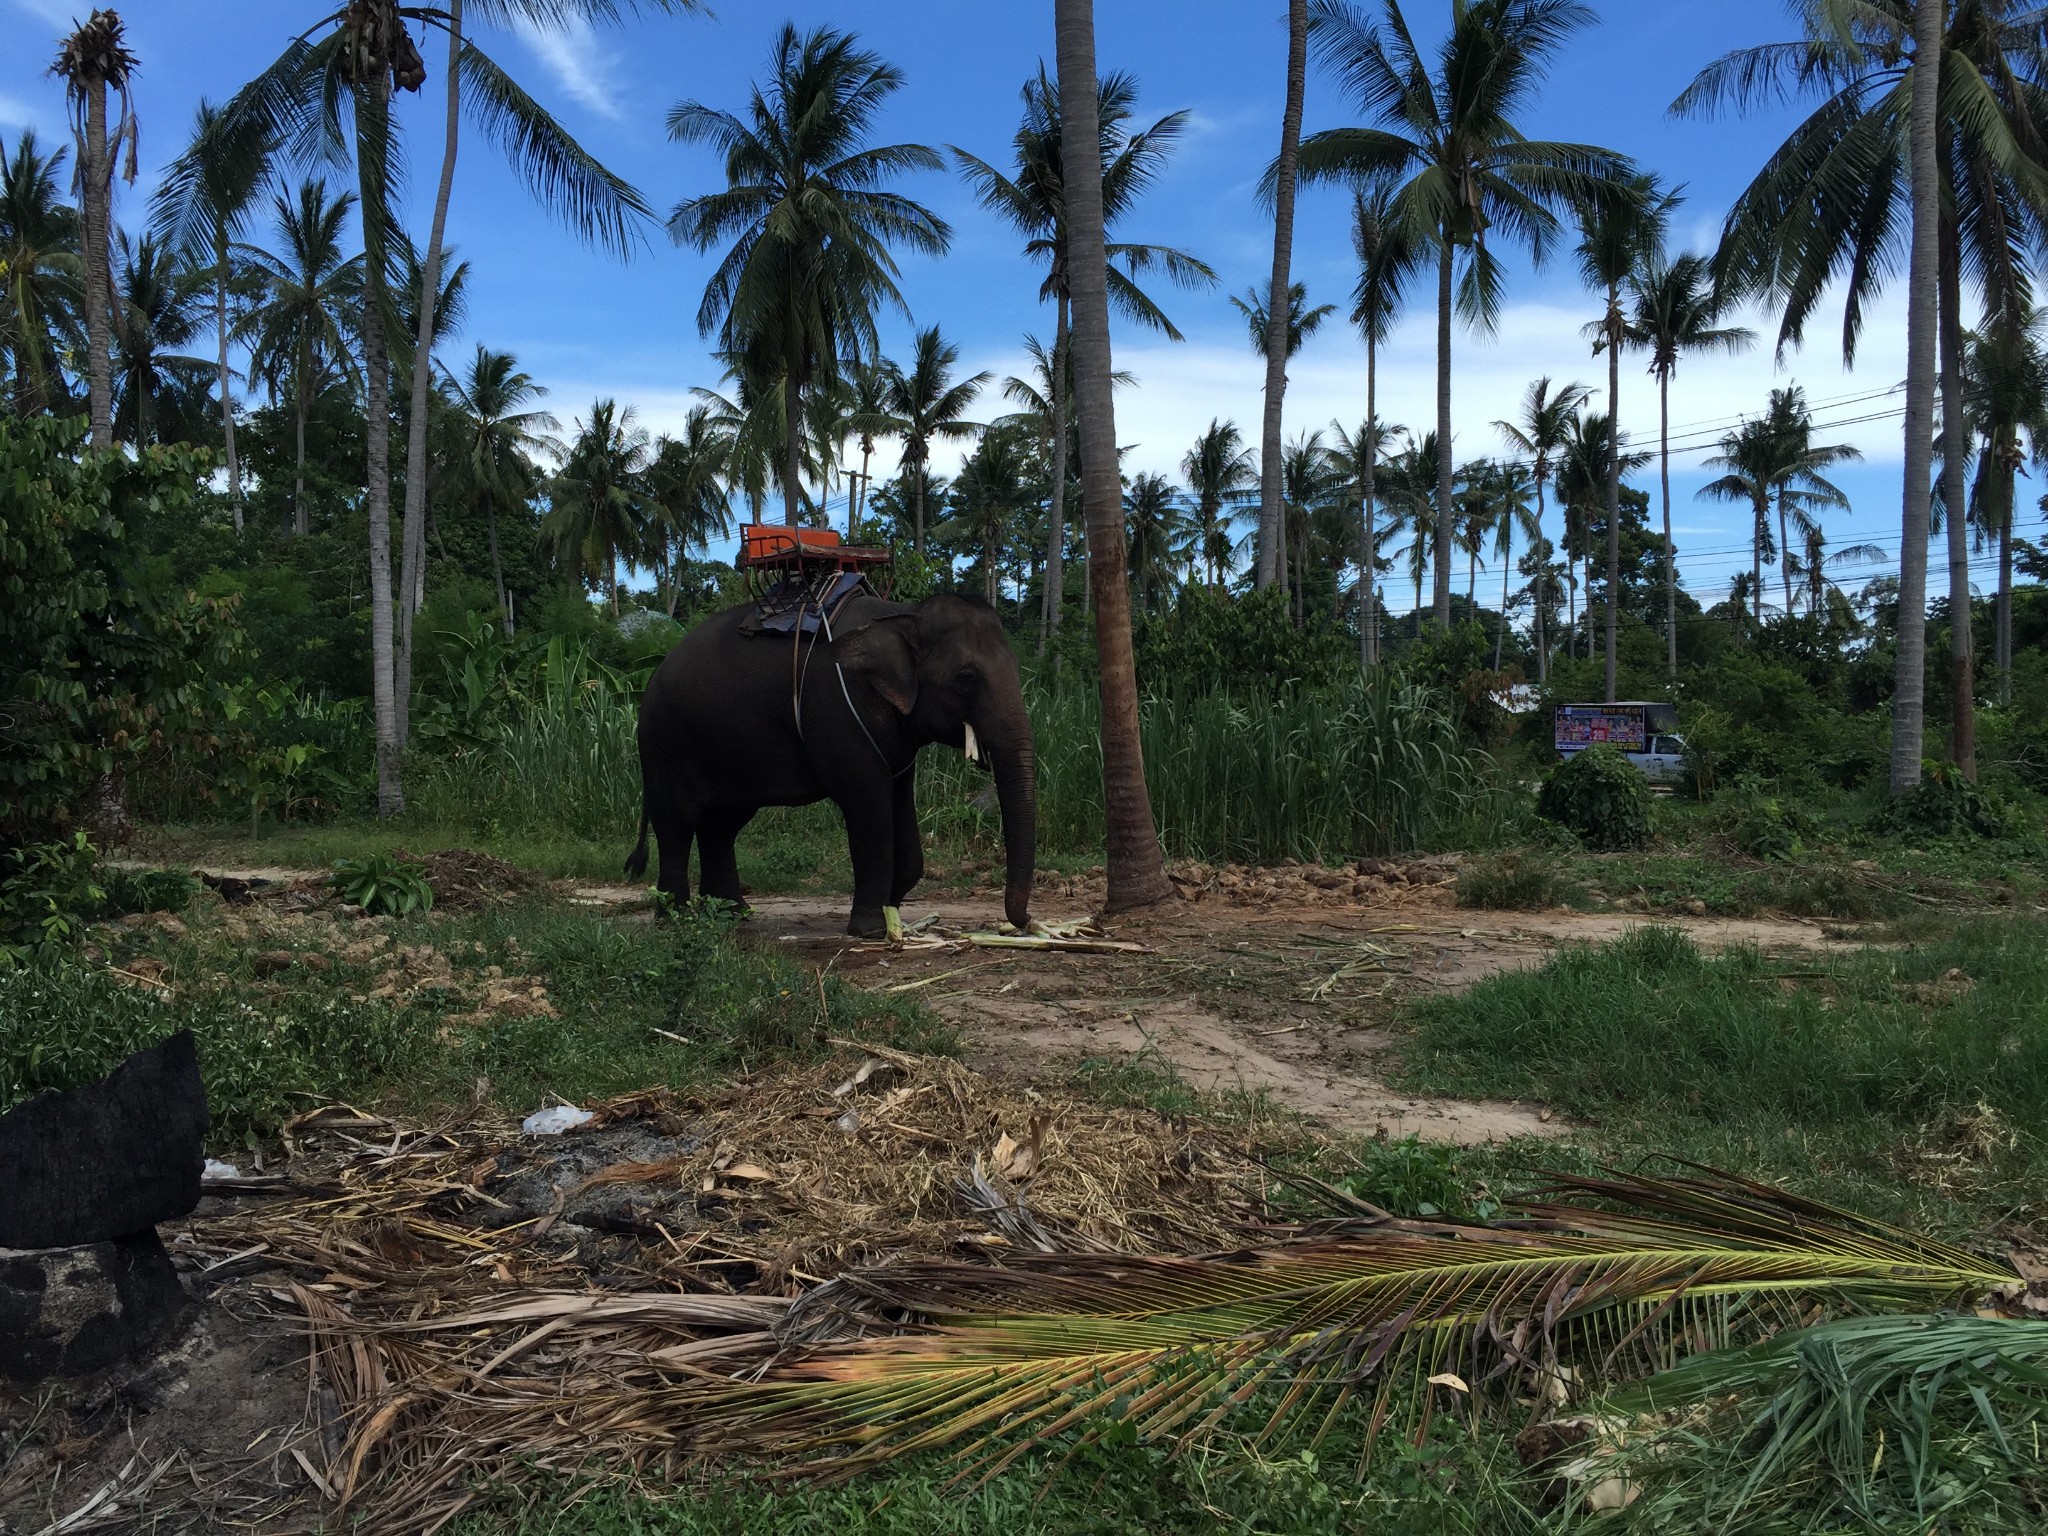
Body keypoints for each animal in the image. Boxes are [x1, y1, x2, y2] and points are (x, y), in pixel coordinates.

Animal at [618, 593, 1040, 946]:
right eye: (966, 678)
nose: (1025, 922)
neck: (902, 614)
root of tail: (653, 674)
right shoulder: (837, 710)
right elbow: (867, 802)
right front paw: (872, 930)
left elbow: (900, 801)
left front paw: (892, 909)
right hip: (664, 743)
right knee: (676, 822)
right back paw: (675, 920)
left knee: (720, 825)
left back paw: (731, 915)